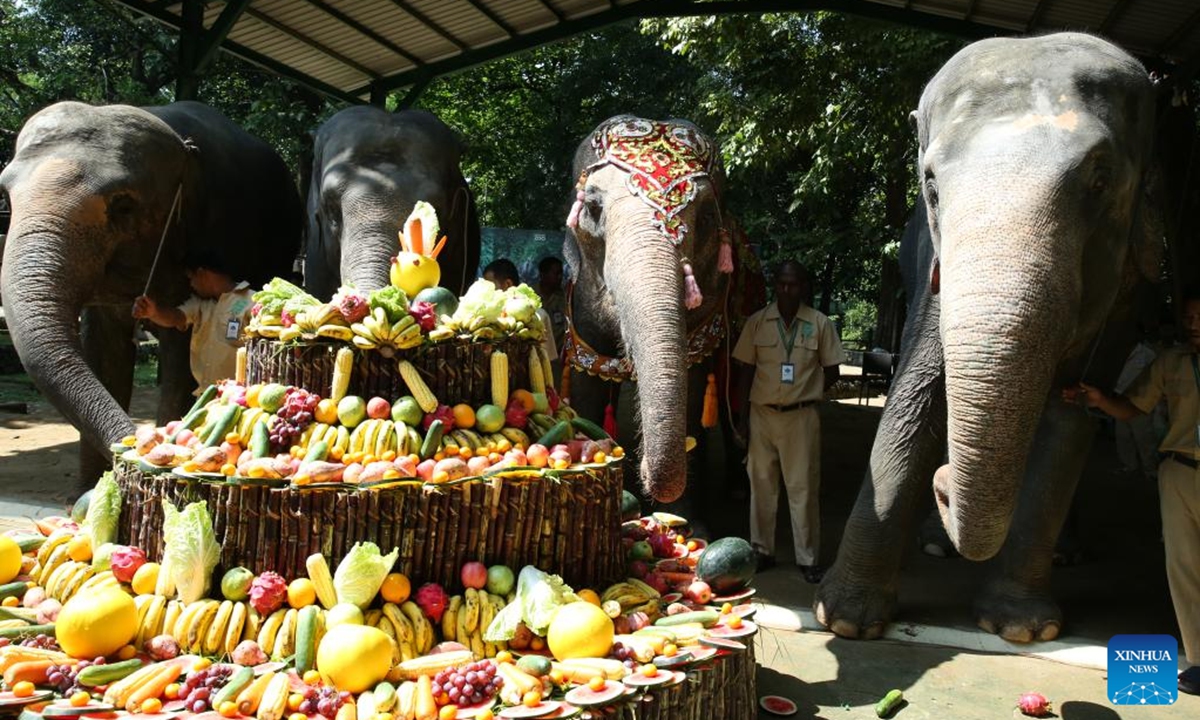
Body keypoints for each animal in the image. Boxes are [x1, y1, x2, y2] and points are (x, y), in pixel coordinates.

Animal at [1, 99, 300, 489]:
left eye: (123, 205)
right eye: (5, 195)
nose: (136, 446)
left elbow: (179, 355)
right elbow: (103, 353)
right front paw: (89, 491)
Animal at [559, 114, 748, 506]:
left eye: (707, 219)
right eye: (593, 208)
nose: (642, 469)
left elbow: (693, 388)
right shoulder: (580, 300)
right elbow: (586, 383)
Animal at [816, 32, 1161, 643]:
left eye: (1101, 182)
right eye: (931, 186)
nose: (944, 484)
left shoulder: (1128, 284)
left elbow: (1071, 414)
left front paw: (1023, 629)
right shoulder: (933, 268)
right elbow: (917, 391)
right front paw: (847, 620)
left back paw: (1062, 554)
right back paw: (936, 544)